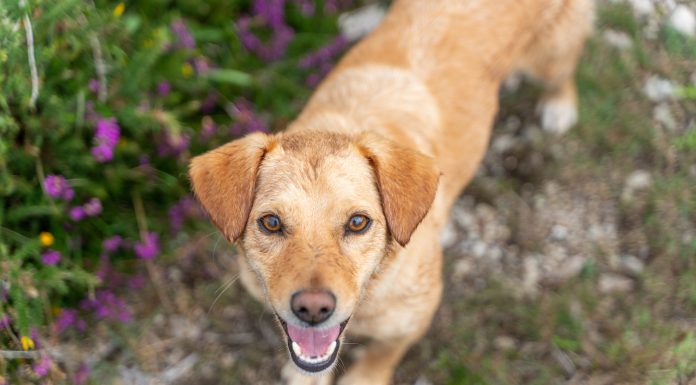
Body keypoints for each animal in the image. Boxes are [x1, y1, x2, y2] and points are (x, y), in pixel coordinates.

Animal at [189, 1, 592, 382]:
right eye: (271, 223)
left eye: (358, 222)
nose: (313, 309)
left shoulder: (414, 318)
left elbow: (383, 353)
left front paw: (365, 376)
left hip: (553, 54)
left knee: (566, 67)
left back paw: (560, 105)